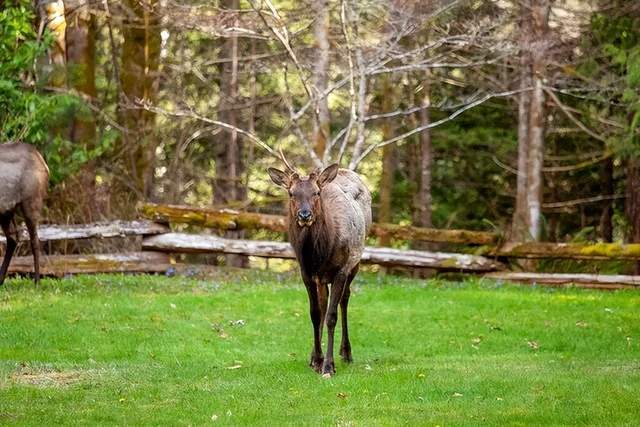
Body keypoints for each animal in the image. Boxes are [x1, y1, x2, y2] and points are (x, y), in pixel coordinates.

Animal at [268, 151, 370, 378]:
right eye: (291, 193)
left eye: (316, 193)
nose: (305, 215)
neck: (319, 254)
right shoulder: (306, 274)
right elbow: (315, 314)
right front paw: (316, 360)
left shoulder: (341, 270)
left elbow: (331, 316)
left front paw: (328, 366)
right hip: (323, 279)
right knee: (324, 305)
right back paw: (315, 355)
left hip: (355, 262)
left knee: (344, 300)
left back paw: (346, 352)